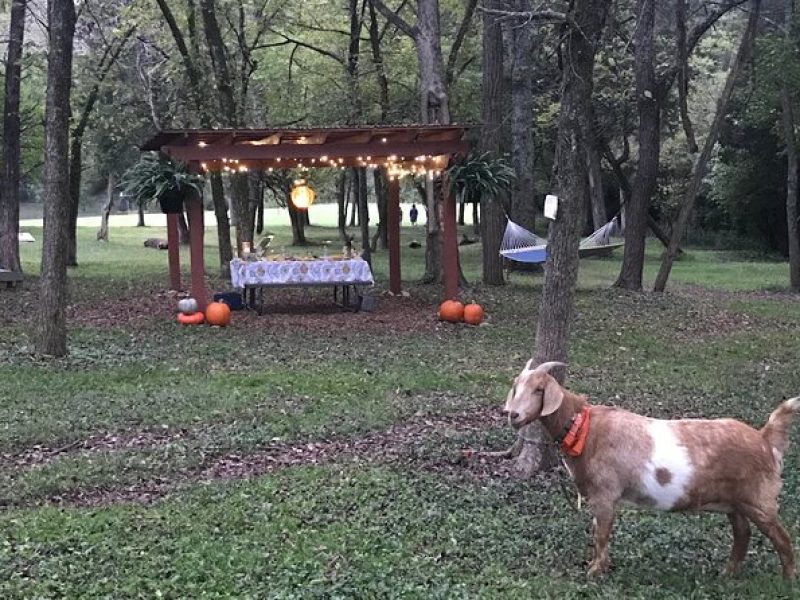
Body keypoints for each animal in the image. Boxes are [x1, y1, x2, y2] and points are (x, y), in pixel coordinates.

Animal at [506, 358, 800, 580]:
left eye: (539, 389)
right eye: (516, 387)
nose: (513, 415)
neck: (585, 428)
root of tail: (764, 438)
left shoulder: (605, 494)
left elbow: (601, 533)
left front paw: (595, 573)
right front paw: (598, 567)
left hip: (758, 498)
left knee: (781, 538)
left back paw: (786, 580)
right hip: (734, 500)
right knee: (742, 534)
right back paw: (726, 574)